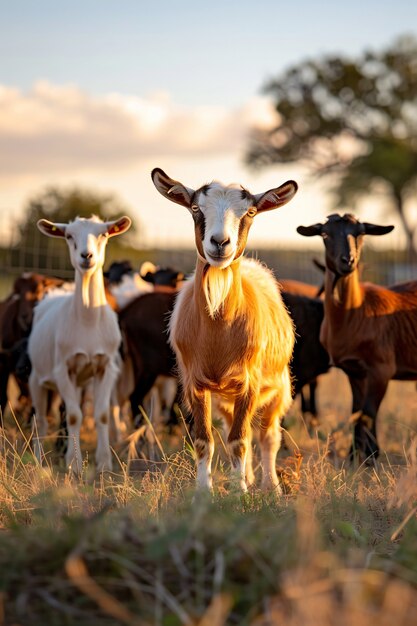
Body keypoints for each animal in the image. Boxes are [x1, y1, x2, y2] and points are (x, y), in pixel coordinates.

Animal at [28, 213, 130, 468]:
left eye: (103, 234)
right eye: (69, 236)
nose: (86, 256)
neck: (88, 323)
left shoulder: (106, 367)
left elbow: (101, 414)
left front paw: (104, 463)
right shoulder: (63, 368)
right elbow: (74, 416)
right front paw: (74, 465)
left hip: (81, 381)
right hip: (37, 377)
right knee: (41, 420)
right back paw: (38, 460)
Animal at [151, 168, 298, 490]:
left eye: (250, 212)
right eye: (195, 208)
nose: (220, 243)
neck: (218, 332)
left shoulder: (249, 384)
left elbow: (239, 442)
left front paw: (240, 493)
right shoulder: (195, 384)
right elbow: (205, 441)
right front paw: (204, 493)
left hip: (278, 386)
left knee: (268, 436)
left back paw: (269, 486)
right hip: (225, 398)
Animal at [296, 212, 416, 460]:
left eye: (361, 233)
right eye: (324, 234)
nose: (348, 261)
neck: (356, 313)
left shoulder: (381, 369)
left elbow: (368, 413)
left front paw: (370, 456)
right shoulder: (354, 371)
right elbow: (356, 412)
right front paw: (354, 455)